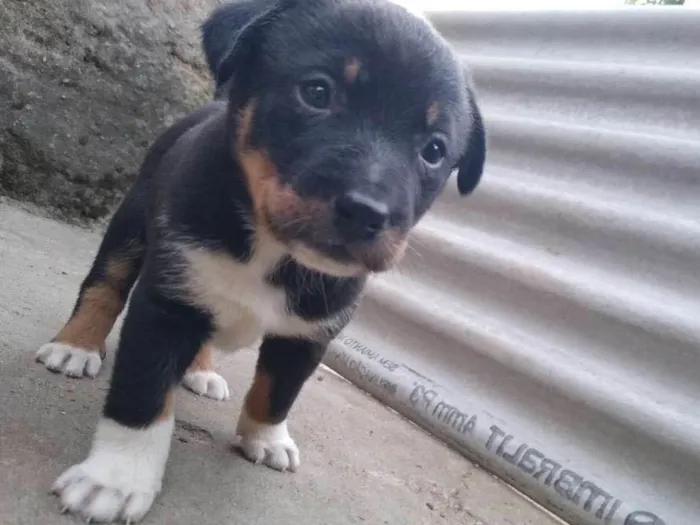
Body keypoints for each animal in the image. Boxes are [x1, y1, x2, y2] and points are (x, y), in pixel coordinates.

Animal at [37, 1, 486, 520]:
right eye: (317, 92)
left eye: (434, 150)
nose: (367, 213)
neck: (273, 248)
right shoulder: (167, 303)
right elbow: (142, 395)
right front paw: (114, 479)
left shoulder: (310, 333)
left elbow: (278, 391)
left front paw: (266, 438)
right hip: (130, 224)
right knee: (103, 286)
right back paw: (75, 346)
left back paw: (201, 371)